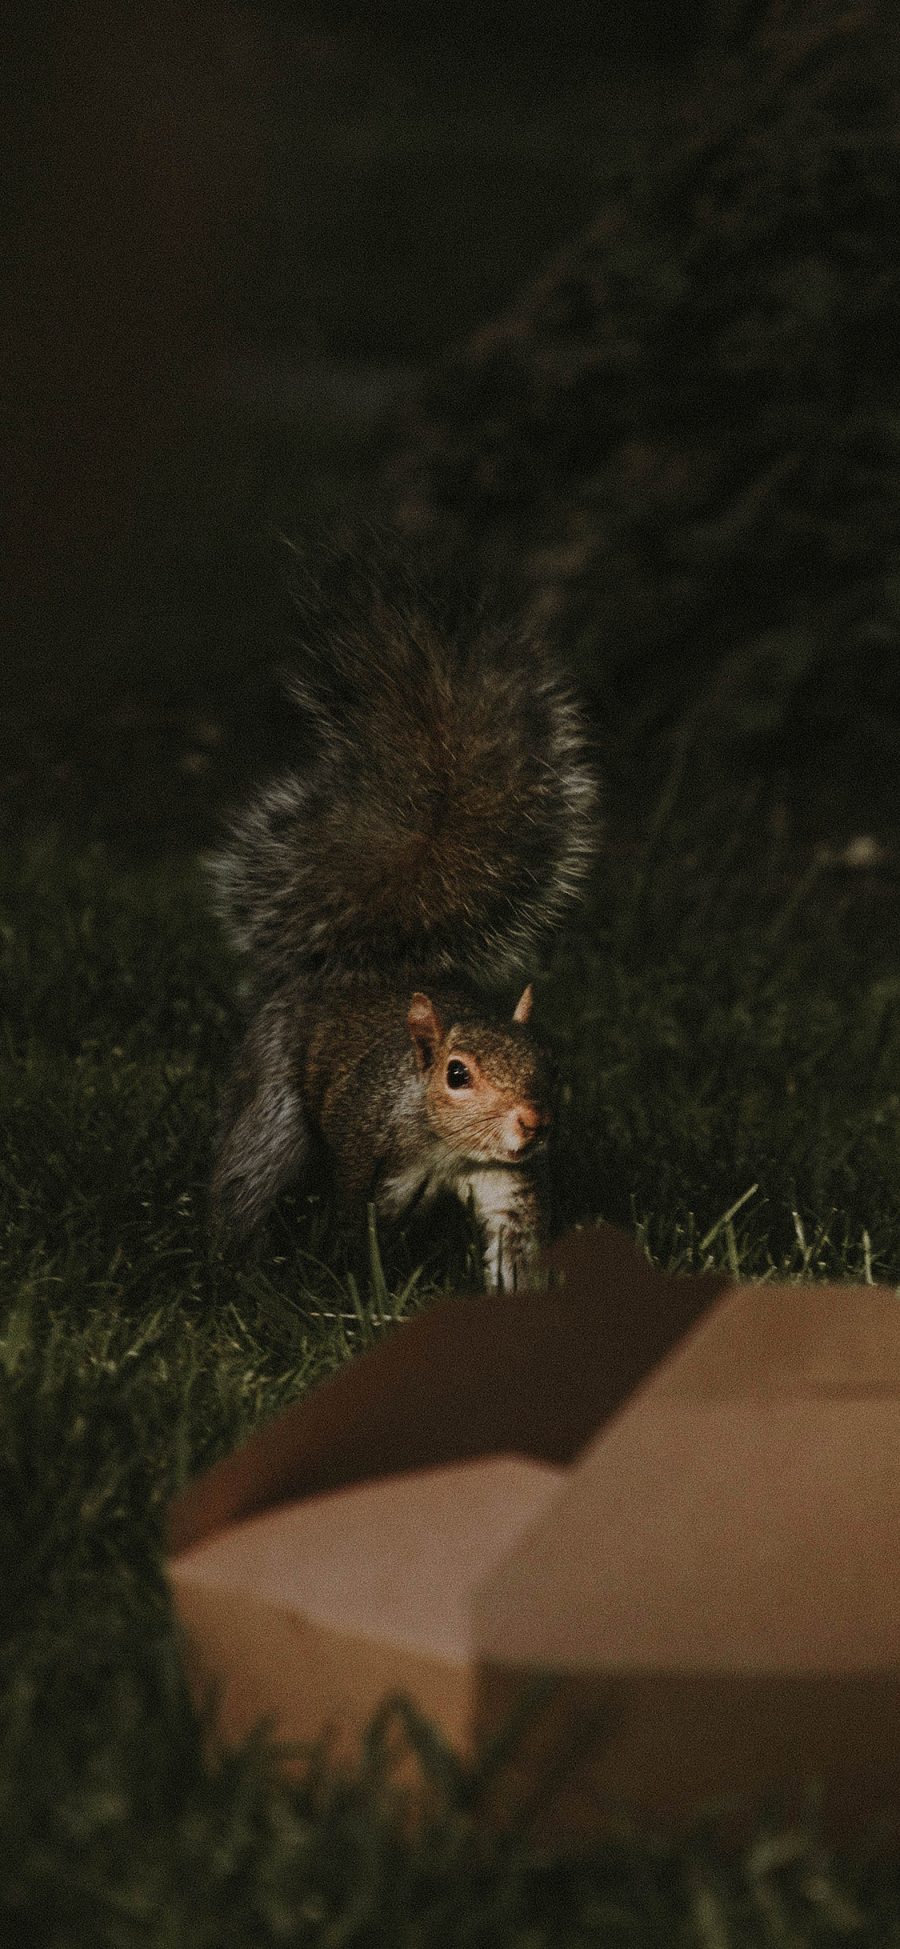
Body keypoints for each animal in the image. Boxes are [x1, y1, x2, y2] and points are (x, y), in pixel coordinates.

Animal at [209, 561, 596, 1294]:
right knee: (250, 1168)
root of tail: (361, 964)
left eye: (550, 1059)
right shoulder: (371, 1169)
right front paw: (353, 1291)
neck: (447, 1147)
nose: (534, 1122)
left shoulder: (508, 1186)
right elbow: (357, 1239)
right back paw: (239, 1261)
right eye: (456, 1074)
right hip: (274, 1091)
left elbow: (514, 1254)